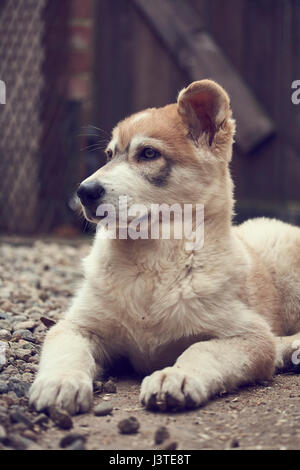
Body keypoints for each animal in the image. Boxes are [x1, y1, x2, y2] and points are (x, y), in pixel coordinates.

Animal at [29, 79, 300, 414]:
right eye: (109, 155)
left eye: (148, 153)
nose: (84, 192)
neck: (151, 264)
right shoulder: (75, 326)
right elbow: (66, 348)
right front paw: (60, 382)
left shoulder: (249, 335)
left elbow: (201, 350)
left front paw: (176, 376)